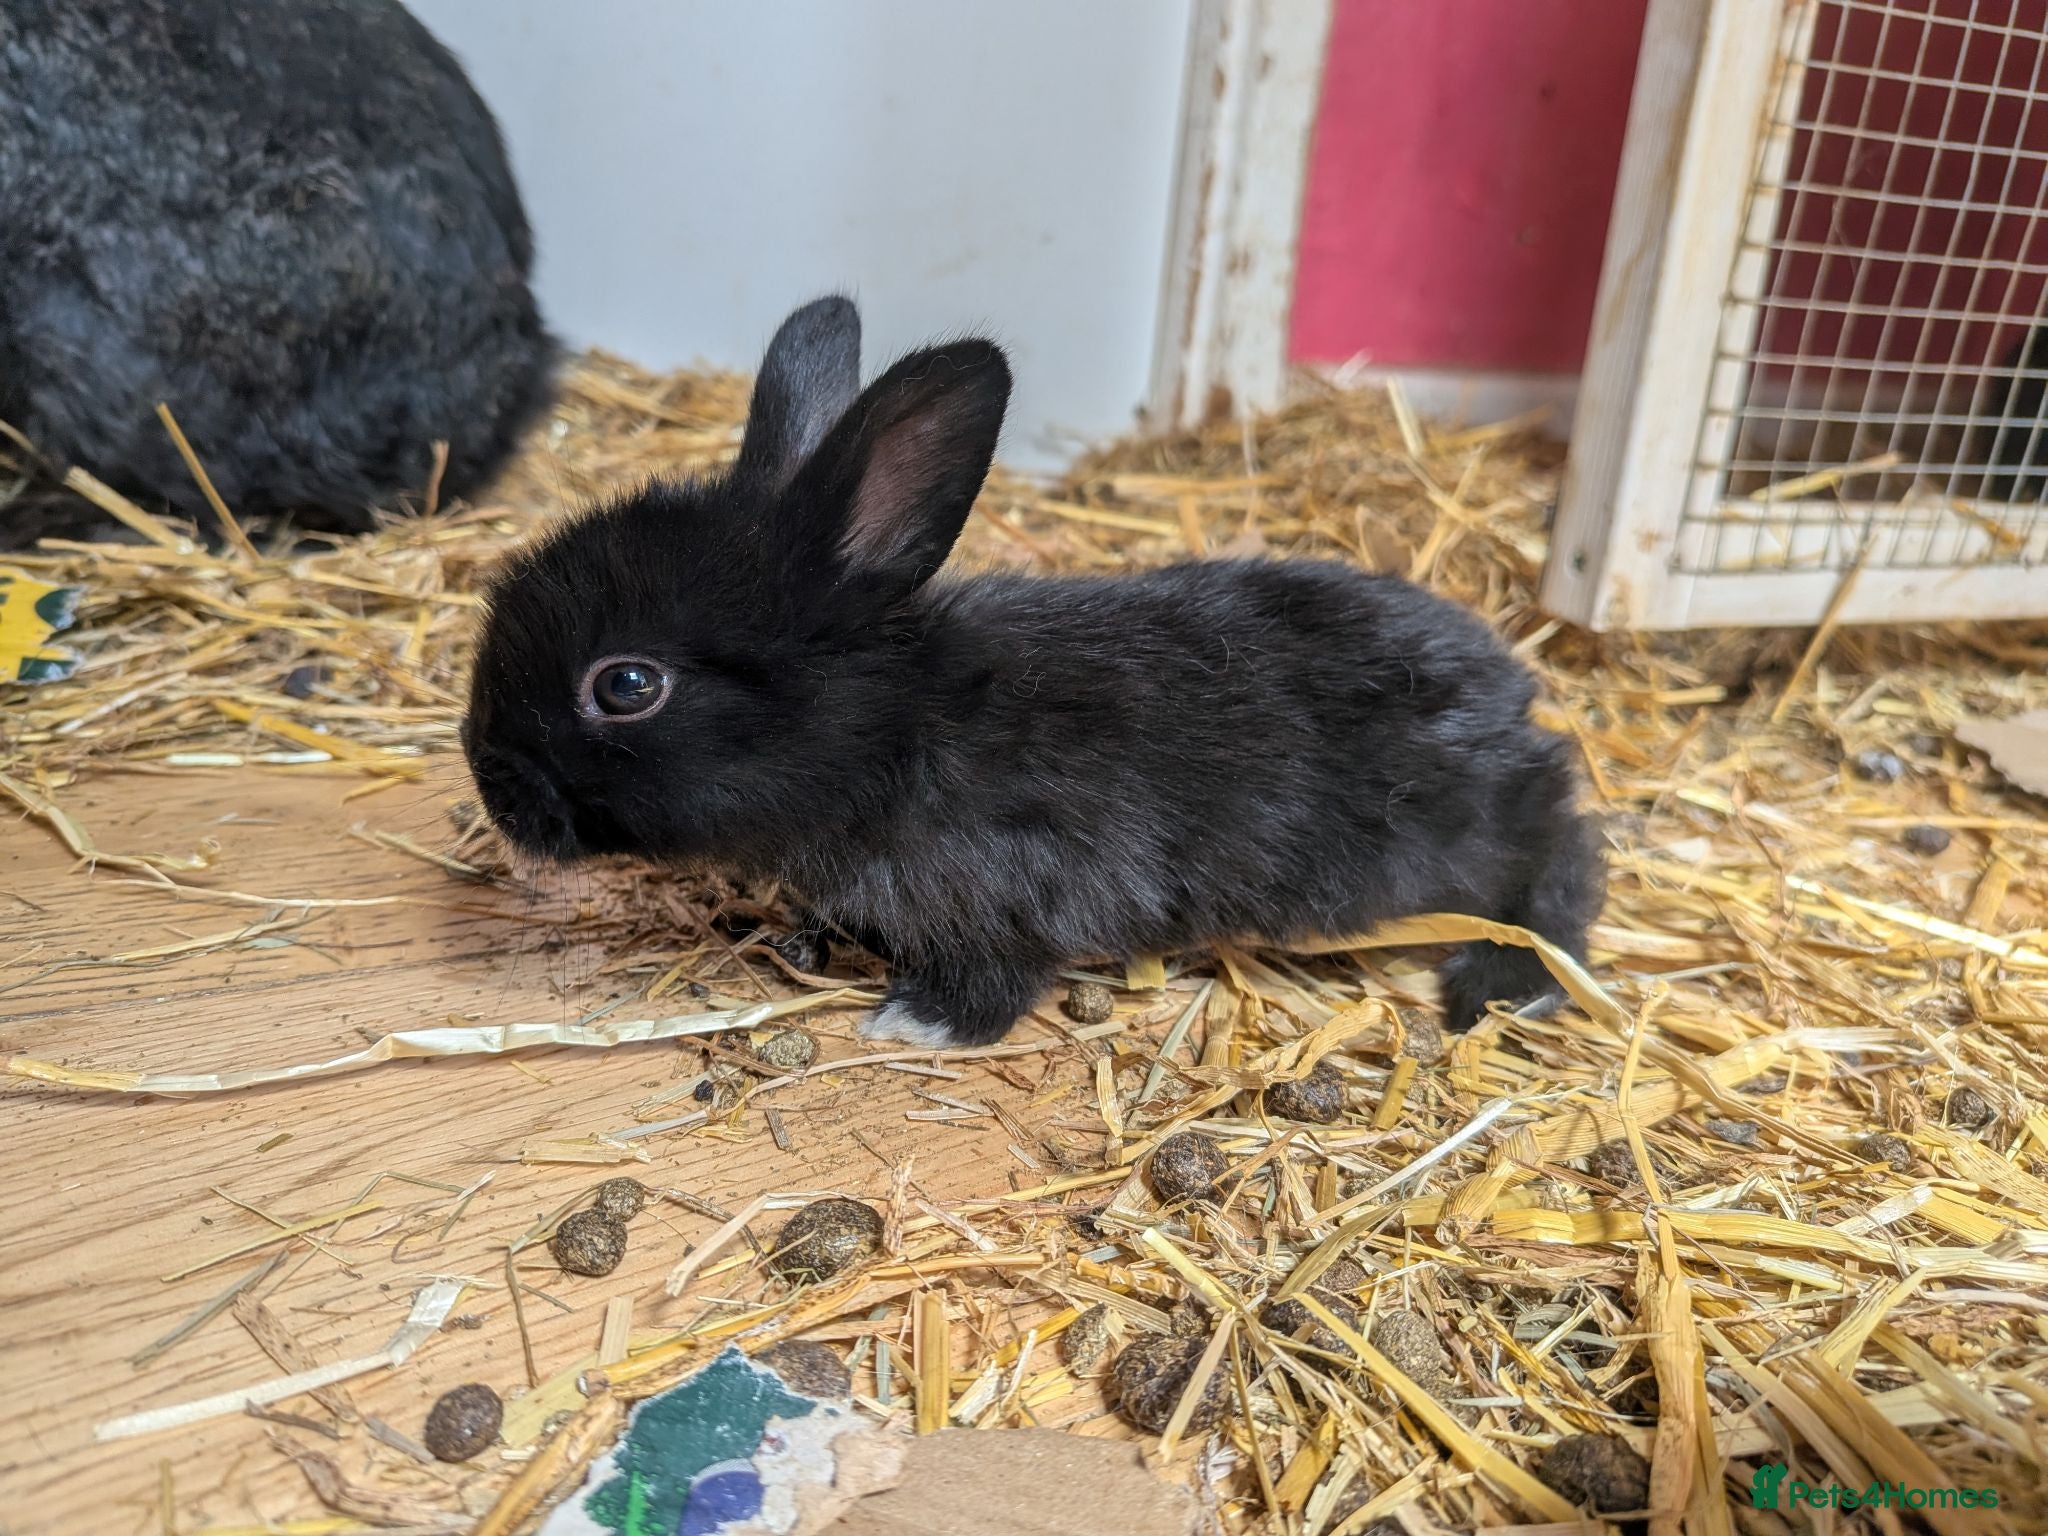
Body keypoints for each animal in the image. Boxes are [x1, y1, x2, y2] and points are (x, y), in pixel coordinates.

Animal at [463, 296, 1605, 1048]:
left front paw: (914, 1022)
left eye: (625, 686)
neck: (897, 734)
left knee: (1564, 856)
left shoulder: (1014, 895)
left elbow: (996, 980)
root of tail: (1515, 699)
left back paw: (1507, 984)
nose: (491, 779)